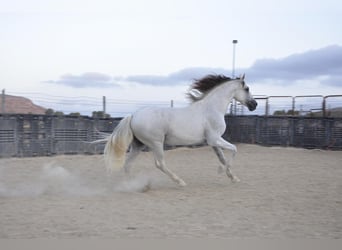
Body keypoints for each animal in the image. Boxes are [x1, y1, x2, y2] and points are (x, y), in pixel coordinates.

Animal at [103, 73, 256, 187]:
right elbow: (234, 149)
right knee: (160, 164)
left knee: (128, 164)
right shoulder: (214, 139)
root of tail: (133, 115)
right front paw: (221, 171)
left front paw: (233, 178)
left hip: (138, 145)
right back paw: (180, 181)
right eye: (247, 89)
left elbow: (223, 158)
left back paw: (134, 185)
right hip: (156, 143)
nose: (254, 105)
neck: (212, 108)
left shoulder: (213, 142)